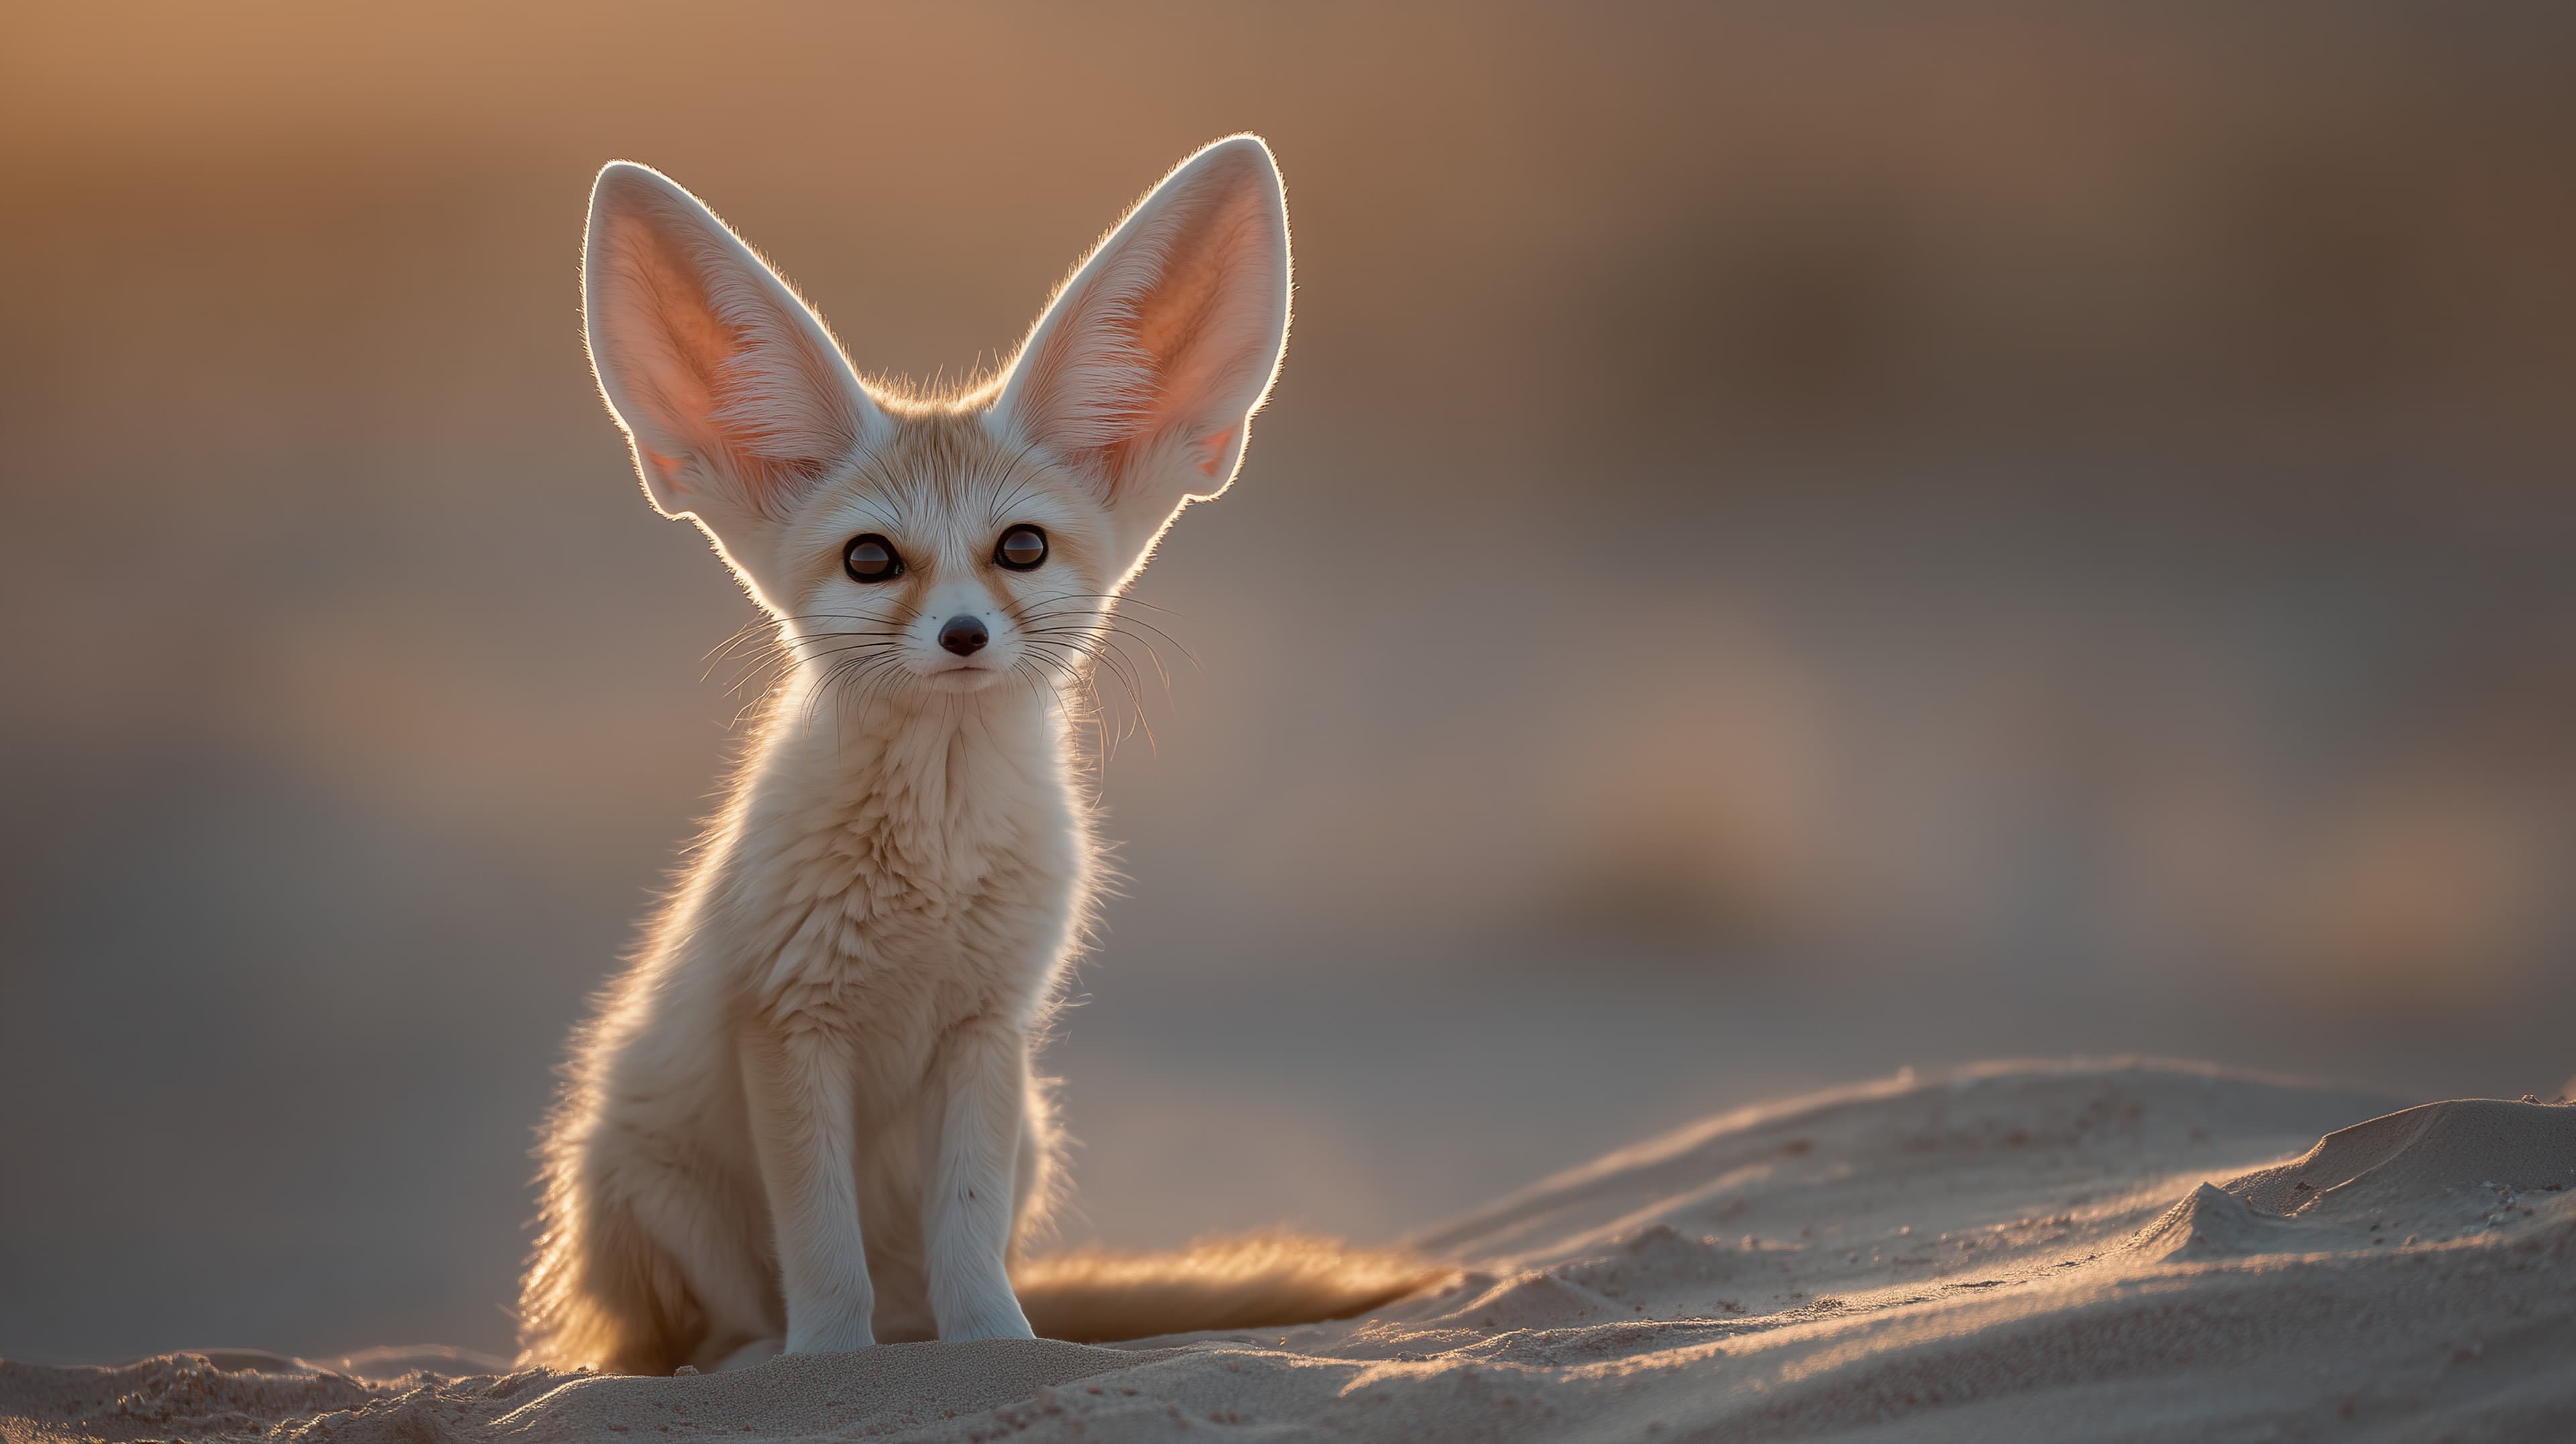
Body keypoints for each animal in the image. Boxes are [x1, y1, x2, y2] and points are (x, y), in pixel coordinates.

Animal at [514, 137, 1428, 1375]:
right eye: (871, 560)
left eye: (1022, 549)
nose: (961, 635)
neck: (933, 869)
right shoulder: (790, 1025)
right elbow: (821, 1247)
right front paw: (829, 1366)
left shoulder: (989, 1028)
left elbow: (969, 1233)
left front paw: (998, 1346)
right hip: (637, 1177)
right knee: (720, 1324)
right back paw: (747, 1359)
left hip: (1034, 1126)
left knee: (918, 1296)